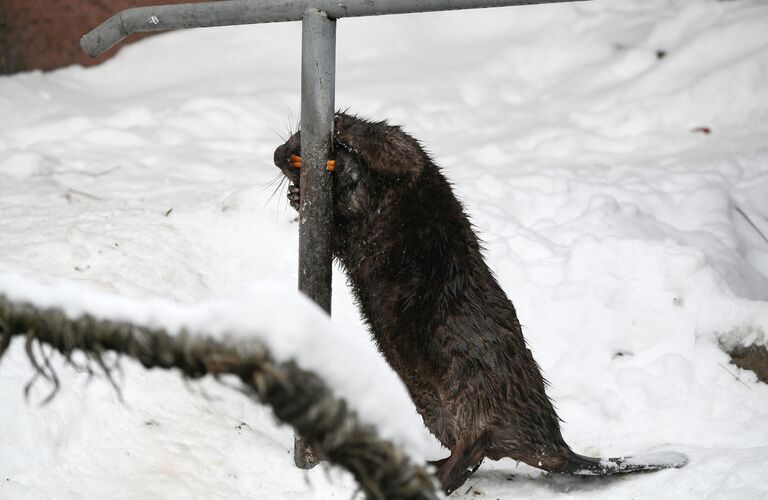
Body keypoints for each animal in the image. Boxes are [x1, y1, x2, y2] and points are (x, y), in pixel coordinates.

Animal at [272, 112, 688, 492]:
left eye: (297, 146)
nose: (278, 154)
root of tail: (560, 451)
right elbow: (343, 237)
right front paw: (297, 196)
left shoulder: (412, 172)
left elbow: (400, 151)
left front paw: (343, 132)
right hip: (438, 410)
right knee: (473, 450)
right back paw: (426, 466)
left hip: (477, 388)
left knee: (474, 450)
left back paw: (434, 478)